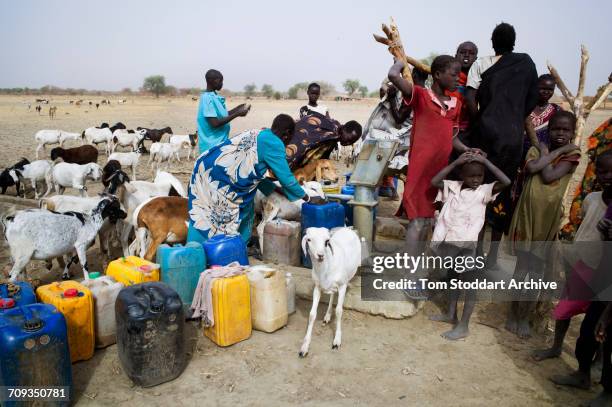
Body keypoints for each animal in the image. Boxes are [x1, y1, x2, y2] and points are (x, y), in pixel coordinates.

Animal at [298, 228, 360, 358]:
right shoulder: (317, 287)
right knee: (332, 295)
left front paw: (337, 341)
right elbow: (312, 314)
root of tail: (347, 228)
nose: (320, 255)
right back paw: (327, 316)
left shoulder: (342, 286)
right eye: (309, 239)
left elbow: (339, 311)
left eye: (327, 241)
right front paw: (304, 347)